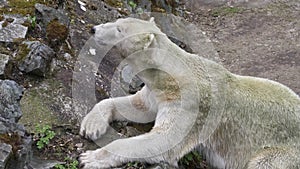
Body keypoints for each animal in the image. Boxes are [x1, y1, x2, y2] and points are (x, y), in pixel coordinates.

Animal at [79, 17, 300, 169]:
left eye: (119, 30)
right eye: (118, 21)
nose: (94, 29)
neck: (173, 76)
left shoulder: (192, 105)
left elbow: (165, 140)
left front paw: (89, 157)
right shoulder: (158, 91)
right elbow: (139, 107)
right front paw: (91, 126)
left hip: (284, 151)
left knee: (264, 163)